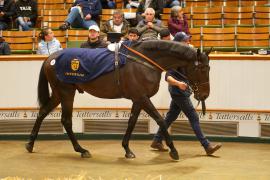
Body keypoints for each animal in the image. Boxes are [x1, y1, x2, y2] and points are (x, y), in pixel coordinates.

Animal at [25, 40, 211, 160]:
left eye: (208, 68)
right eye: (202, 68)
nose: (204, 95)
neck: (143, 61)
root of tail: (51, 58)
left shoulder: (138, 99)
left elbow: (132, 122)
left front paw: (127, 149)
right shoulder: (142, 97)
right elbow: (160, 120)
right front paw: (173, 150)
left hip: (59, 94)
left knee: (43, 112)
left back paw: (30, 144)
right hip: (66, 92)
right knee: (66, 120)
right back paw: (81, 150)